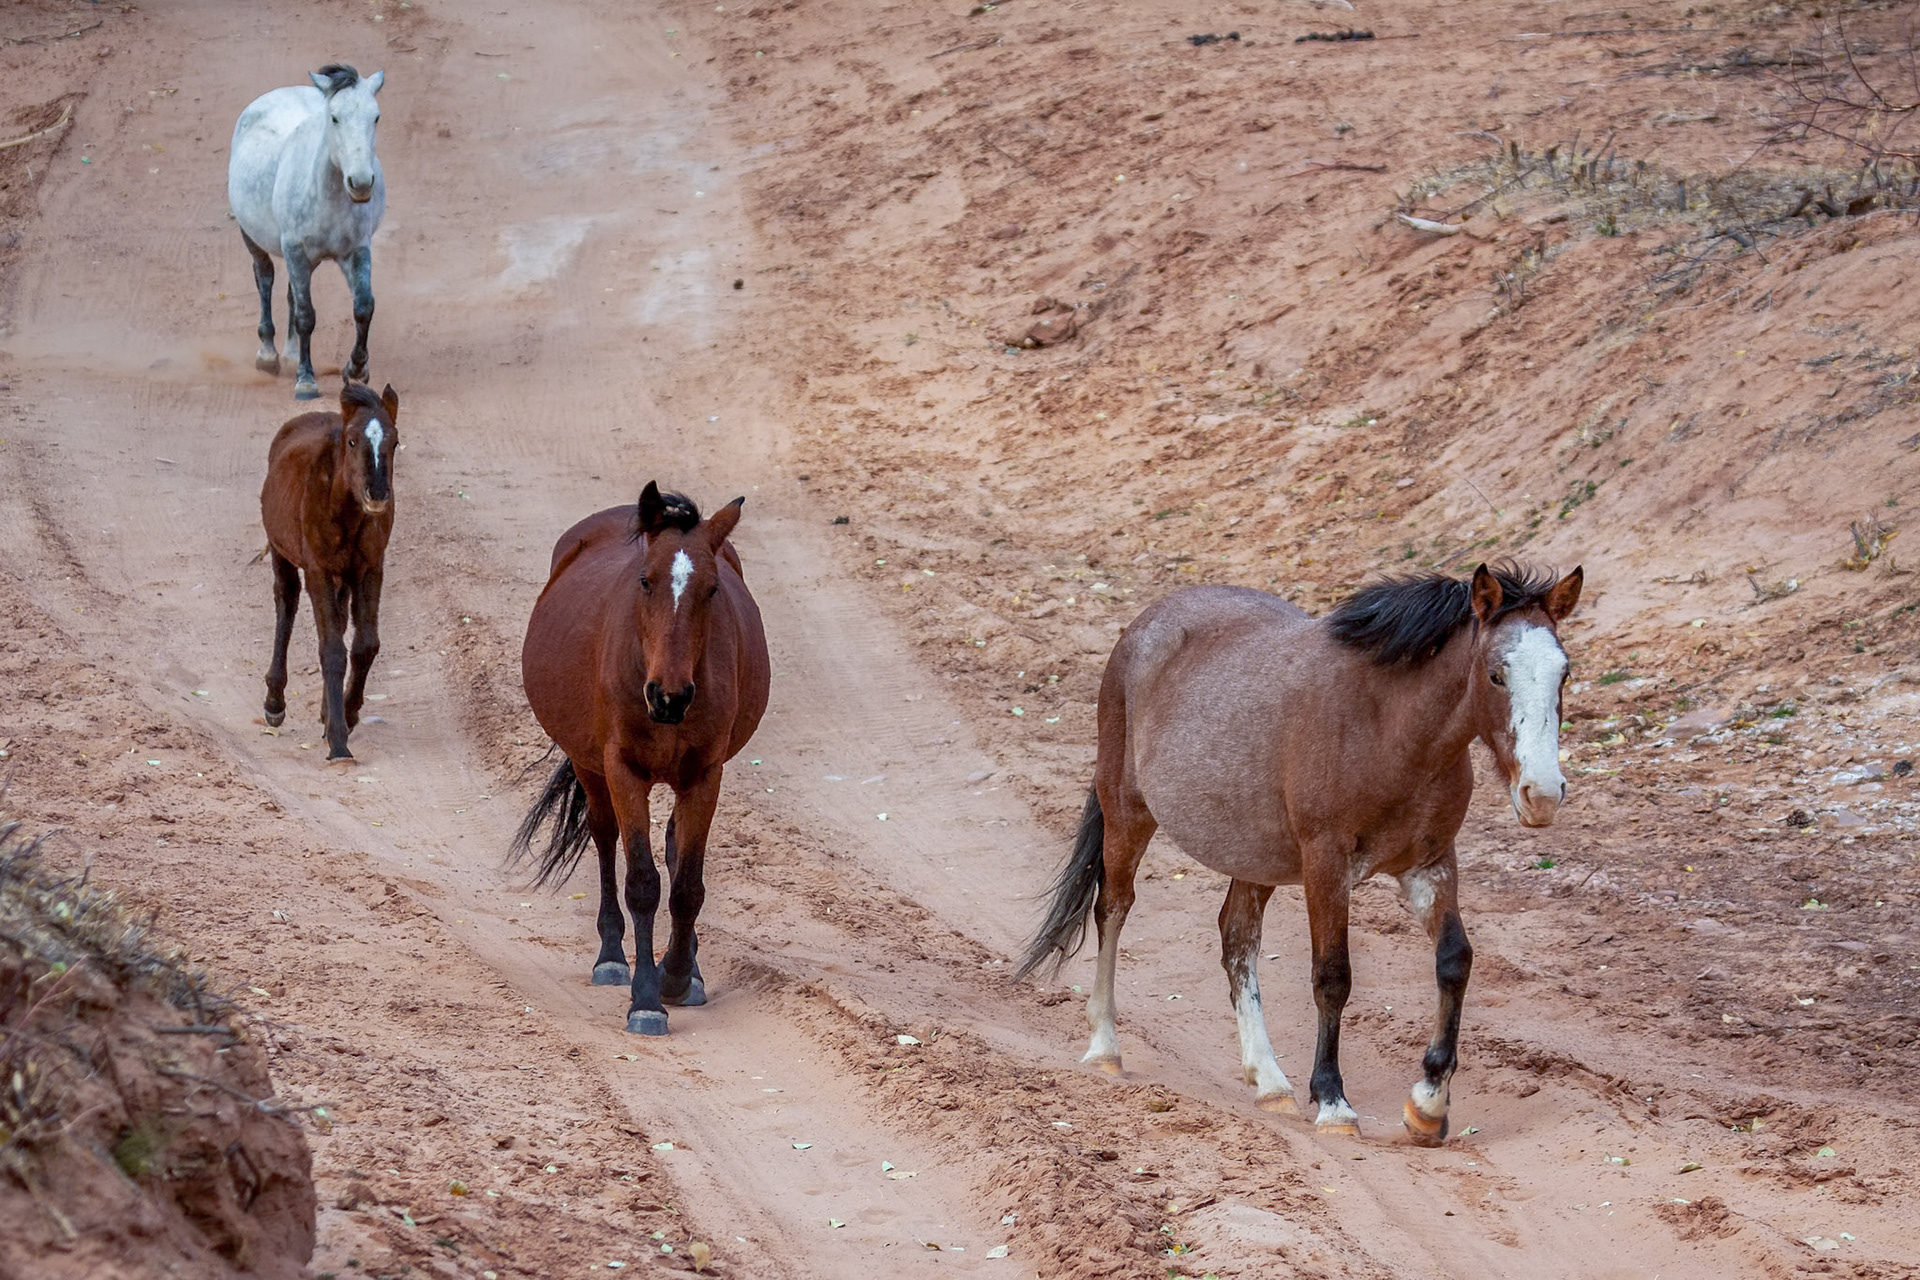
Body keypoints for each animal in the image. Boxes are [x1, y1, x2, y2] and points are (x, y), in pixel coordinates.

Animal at [229, 63, 386, 401]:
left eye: (376, 117)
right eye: (335, 118)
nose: (361, 184)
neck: (327, 195)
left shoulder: (355, 250)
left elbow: (363, 307)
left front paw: (356, 371)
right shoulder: (295, 250)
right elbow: (306, 315)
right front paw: (306, 381)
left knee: (290, 292)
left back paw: (289, 357)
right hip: (254, 237)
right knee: (265, 278)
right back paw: (269, 356)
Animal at [259, 383, 399, 762]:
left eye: (395, 442)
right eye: (351, 441)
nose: (377, 493)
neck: (345, 510)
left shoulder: (370, 568)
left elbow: (365, 645)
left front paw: (345, 715)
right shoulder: (318, 571)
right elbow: (332, 650)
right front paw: (338, 742)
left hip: (344, 577)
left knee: (337, 616)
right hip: (281, 551)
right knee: (286, 603)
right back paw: (275, 701)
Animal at [511, 483, 770, 1036]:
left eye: (713, 589)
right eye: (645, 580)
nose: (669, 697)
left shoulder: (704, 773)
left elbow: (687, 885)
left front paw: (677, 975)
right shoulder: (622, 770)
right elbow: (643, 883)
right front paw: (647, 999)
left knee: (672, 846)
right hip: (589, 765)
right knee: (604, 837)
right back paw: (611, 957)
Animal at [1018, 560, 1582, 1146]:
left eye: (1563, 674)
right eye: (1497, 674)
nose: (1542, 795)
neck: (1389, 727)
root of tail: (1142, 627)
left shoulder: (1430, 864)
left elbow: (1454, 961)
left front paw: (1428, 1106)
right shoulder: (1325, 863)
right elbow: (1333, 977)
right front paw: (1333, 1102)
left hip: (1253, 856)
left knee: (1237, 938)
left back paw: (1269, 1080)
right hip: (1127, 813)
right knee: (1114, 908)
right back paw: (1104, 1048)